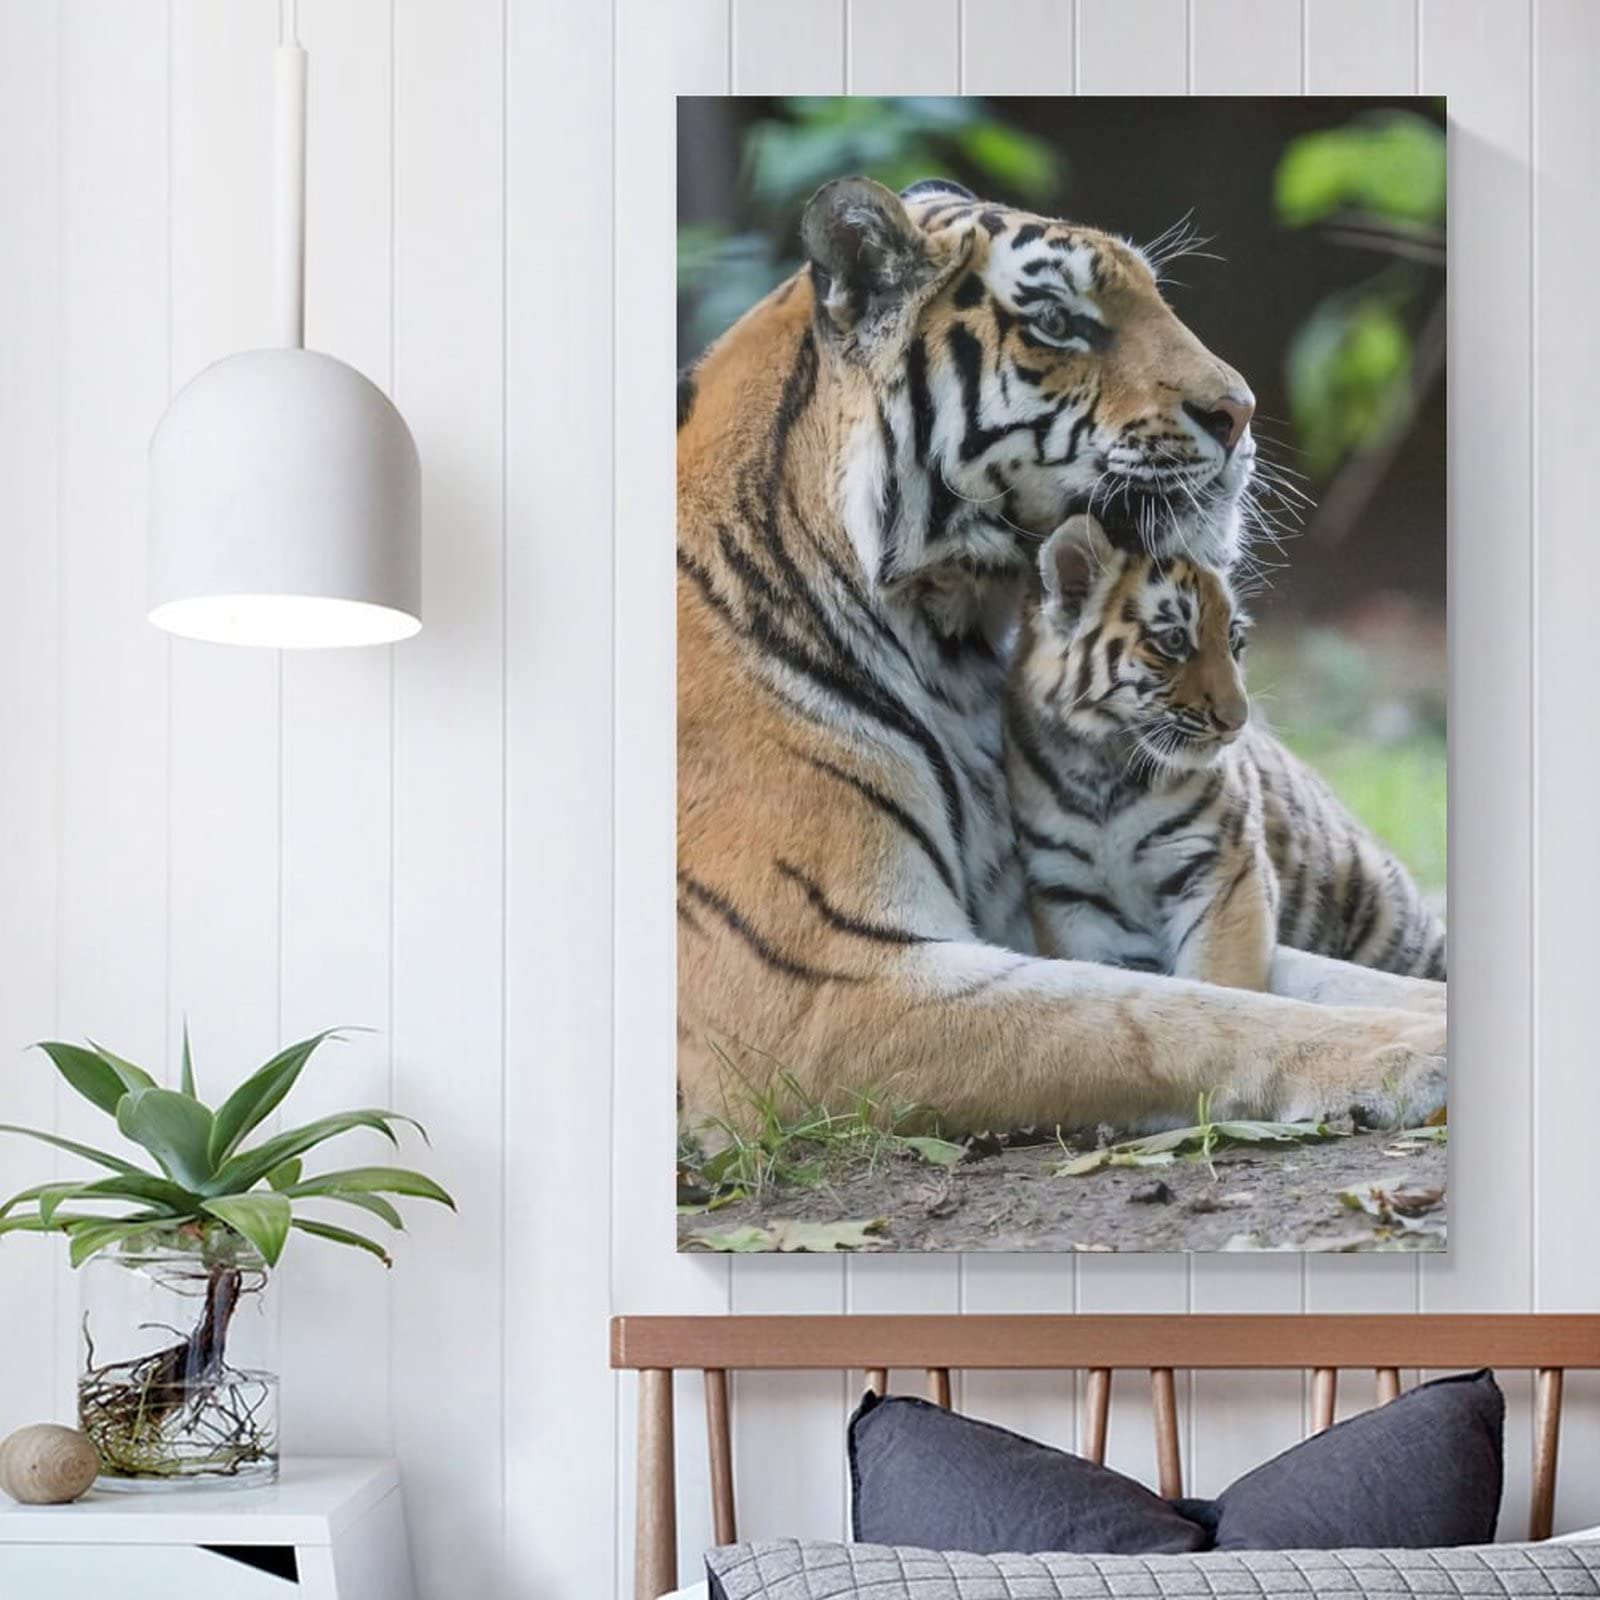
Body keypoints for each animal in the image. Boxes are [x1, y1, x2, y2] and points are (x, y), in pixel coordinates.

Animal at [1008, 515, 1447, 993]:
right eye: (1175, 640)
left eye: (1235, 639)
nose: (1237, 720)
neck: (1104, 767)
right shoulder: (1068, 895)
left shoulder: (1222, 869)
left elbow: (1220, 980)